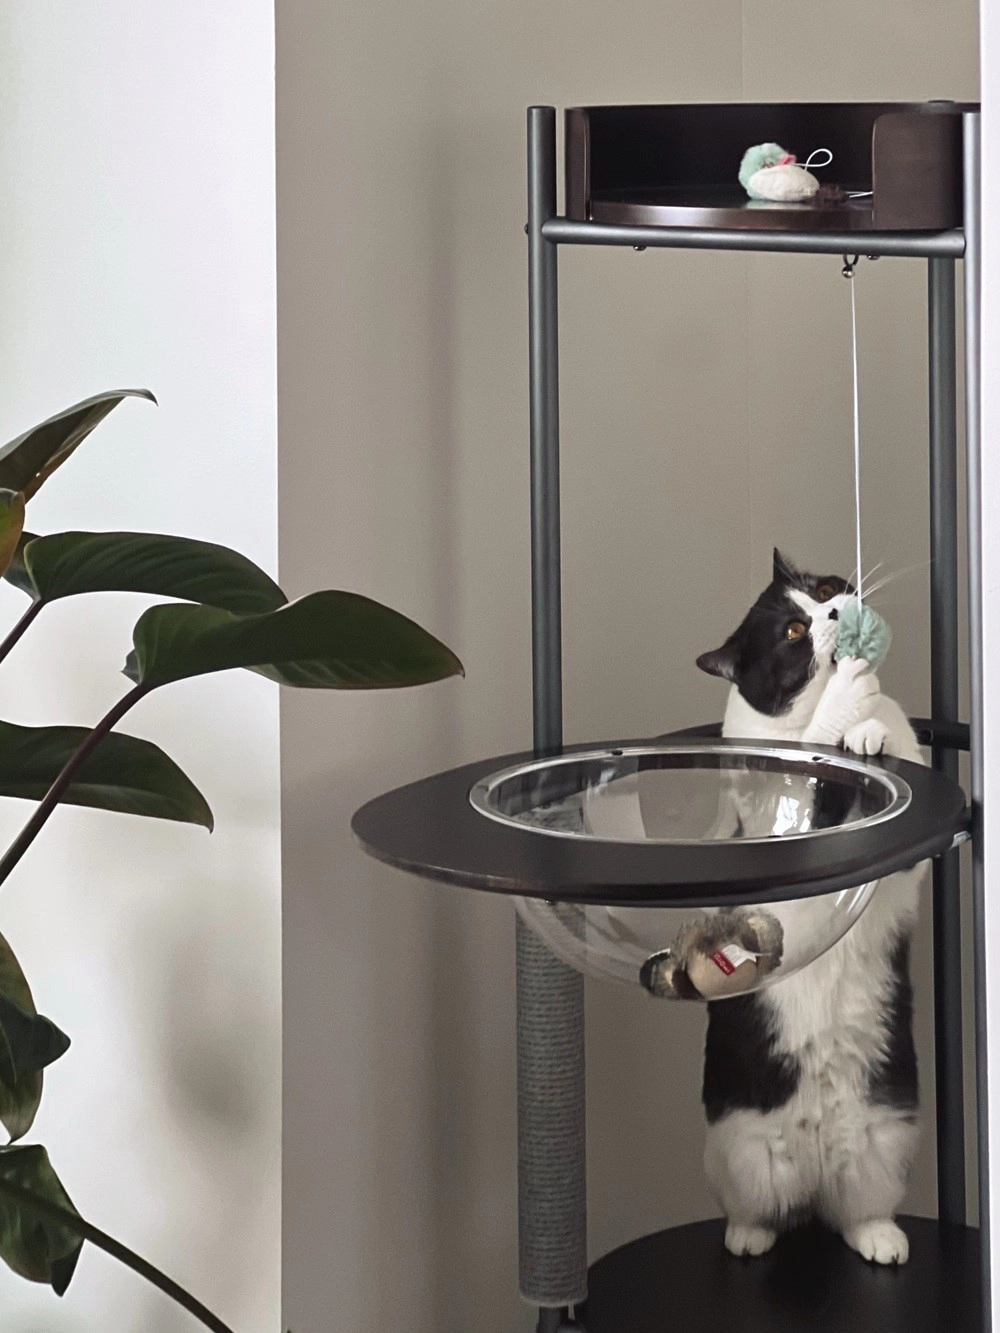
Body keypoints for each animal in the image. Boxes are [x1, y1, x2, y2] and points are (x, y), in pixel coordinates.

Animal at [698, 551, 922, 1269]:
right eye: (793, 632)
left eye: (823, 588)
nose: (834, 611)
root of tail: (816, 1166)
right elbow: (818, 756)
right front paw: (847, 698)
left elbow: (885, 742)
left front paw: (869, 726)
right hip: (738, 1149)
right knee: (760, 1207)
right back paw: (749, 1238)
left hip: (886, 1139)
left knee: (855, 1208)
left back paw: (881, 1239)